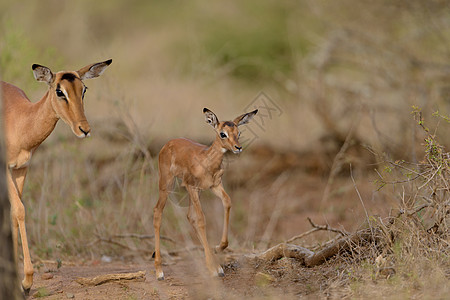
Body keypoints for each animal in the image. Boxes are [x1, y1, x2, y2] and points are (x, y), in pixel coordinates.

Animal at [1, 59, 111, 292]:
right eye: (59, 91)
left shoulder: (21, 168)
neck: (20, 121)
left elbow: (14, 214)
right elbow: (19, 210)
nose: (84, 129)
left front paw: (17, 280)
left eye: (84, 89)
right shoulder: (5, 168)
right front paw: (26, 281)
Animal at [153, 107, 256, 278]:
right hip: (166, 184)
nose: (238, 148)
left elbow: (227, 202)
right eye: (222, 133)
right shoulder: (191, 187)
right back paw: (159, 272)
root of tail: (168, 143)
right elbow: (201, 219)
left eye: (238, 132)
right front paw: (213, 268)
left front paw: (218, 249)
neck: (207, 160)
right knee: (158, 212)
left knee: (189, 216)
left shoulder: (215, 186)